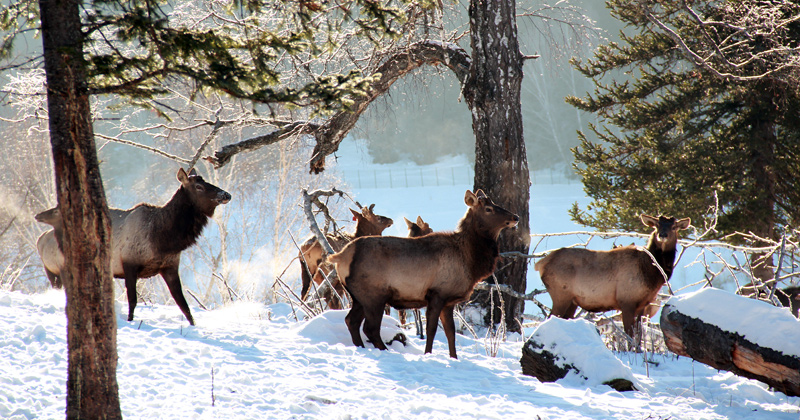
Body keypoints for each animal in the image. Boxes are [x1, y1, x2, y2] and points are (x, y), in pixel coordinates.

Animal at [36, 167, 230, 324]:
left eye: (206, 181)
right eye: (199, 187)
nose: (226, 195)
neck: (162, 239)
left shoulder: (170, 266)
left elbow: (183, 304)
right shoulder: (128, 263)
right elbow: (133, 301)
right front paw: (130, 322)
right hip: (59, 268)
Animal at [326, 190, 520, 358]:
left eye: (494, 203)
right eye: (488, 209)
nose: (515, 217)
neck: (470, 261)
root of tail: (341, 256)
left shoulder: (449, 301)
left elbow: (450, 332)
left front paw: (454, 358)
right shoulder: (437, 293)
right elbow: (431, 330)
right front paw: (428, 354)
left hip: (358, 296)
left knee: (351, 321)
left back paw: (361, 347)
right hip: (374, 295)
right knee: (370, 328)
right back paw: (385, 351)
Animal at [536, 213, 692, 338]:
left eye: (674, 227)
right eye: (657, 226)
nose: (663, 235)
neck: (651, 274)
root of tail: (541, 263)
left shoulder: (643, 305)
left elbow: (639, 338)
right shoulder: (626, 300)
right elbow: (630, 336)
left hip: (572, 301)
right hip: (560, 294)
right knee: (548, 318)